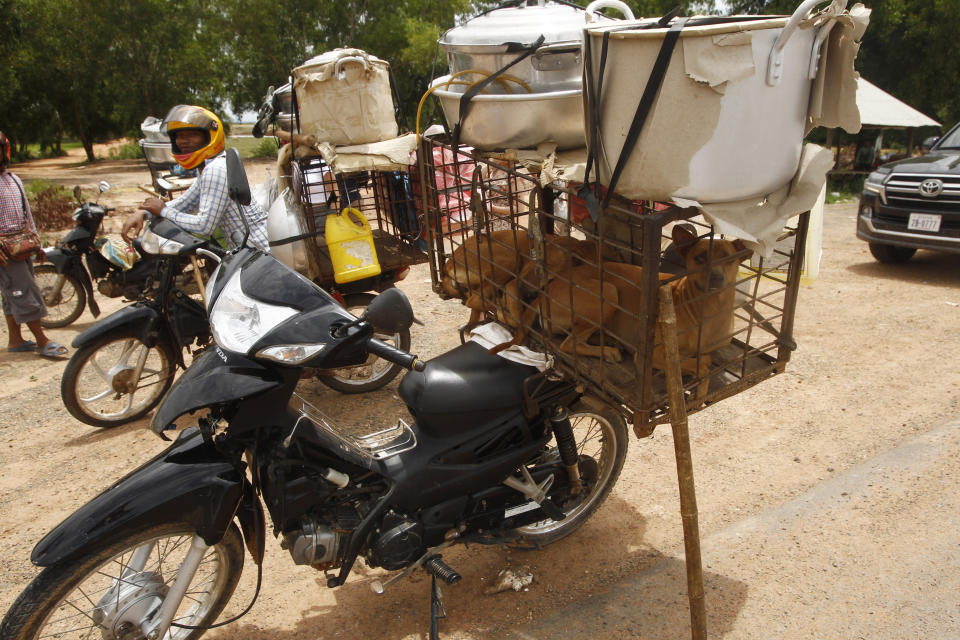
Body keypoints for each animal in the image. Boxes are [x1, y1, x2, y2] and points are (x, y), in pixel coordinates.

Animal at [496, 225, 752, 402]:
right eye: (699, 258)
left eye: (730, 259)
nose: (716, 277)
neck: (709, 310)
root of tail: (546, 290)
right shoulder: (653, 355)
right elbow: (702, 364)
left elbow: (705, 360)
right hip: (608, 292)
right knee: (569, 343)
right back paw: (608, 350)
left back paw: (608, 341)